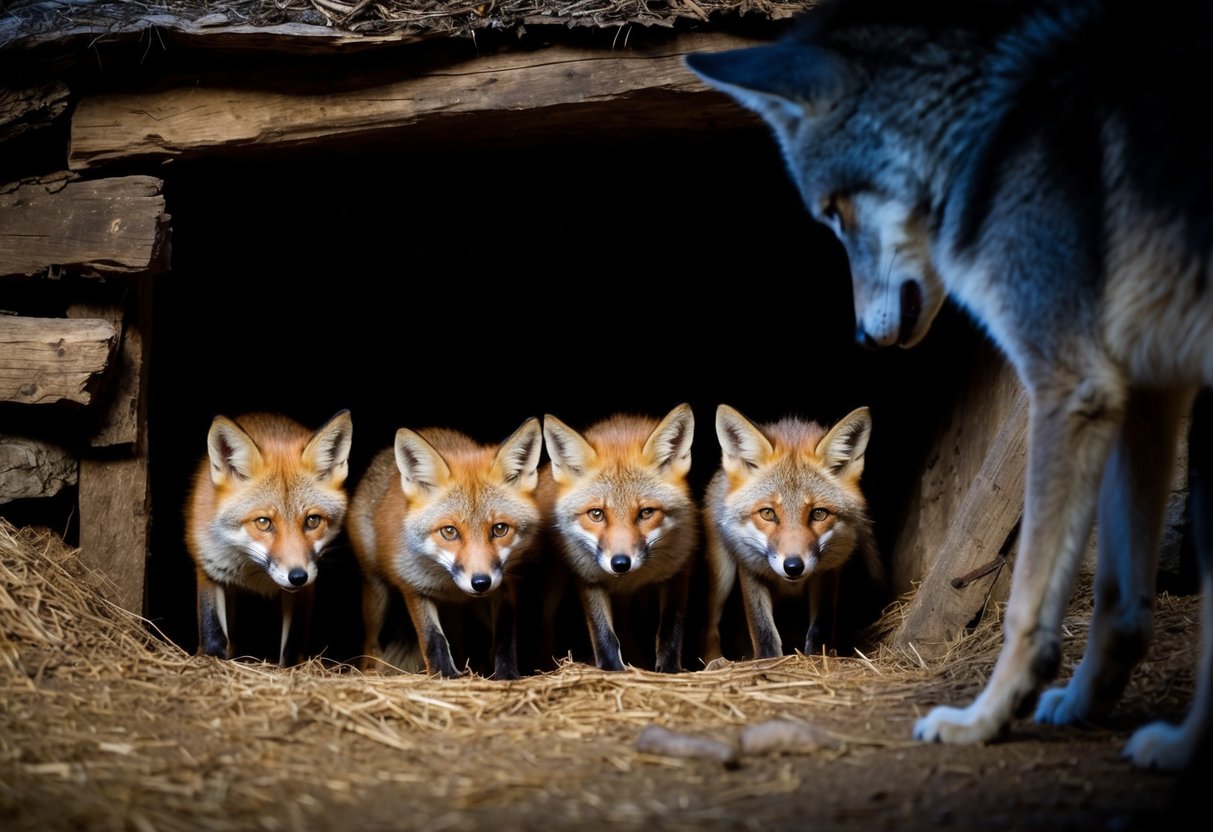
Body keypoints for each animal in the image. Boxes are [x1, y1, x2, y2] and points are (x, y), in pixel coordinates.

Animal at [184, 409, 354, 667]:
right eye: (263, 522)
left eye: (312, 521)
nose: (298, 576)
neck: (255, 573)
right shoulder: (209, 566)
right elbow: (212, 631)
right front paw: (212, 658)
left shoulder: (307, 584)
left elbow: (292, 643)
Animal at [348, 418, 544, 680]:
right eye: (449, 531)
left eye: (500, 529)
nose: (480, 582)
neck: (449, 584)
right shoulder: (413, 585)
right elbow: (433, 639)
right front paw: (445, 675)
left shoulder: (505, 583)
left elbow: (504, 637)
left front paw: (507, 675)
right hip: (376, 593)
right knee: (370, 642)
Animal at [538, 404, 698, 673]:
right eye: (596, 514)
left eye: (646, 513)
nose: (620, 563)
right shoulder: (588, 576)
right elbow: (605, 636)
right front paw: (613, 669)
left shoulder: (679, 570)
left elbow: (669, 631)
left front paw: (669, 670)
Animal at [703, 404, 880, 662]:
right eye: (768, 513)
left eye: (819, 514)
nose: (794, 566)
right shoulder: (749, 565)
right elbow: (763, 629)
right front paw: (768, 661)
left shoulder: (830, 568)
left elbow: (820, 625)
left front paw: (818, 656)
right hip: (721, 575)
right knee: (708, 627)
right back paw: (714, 662)